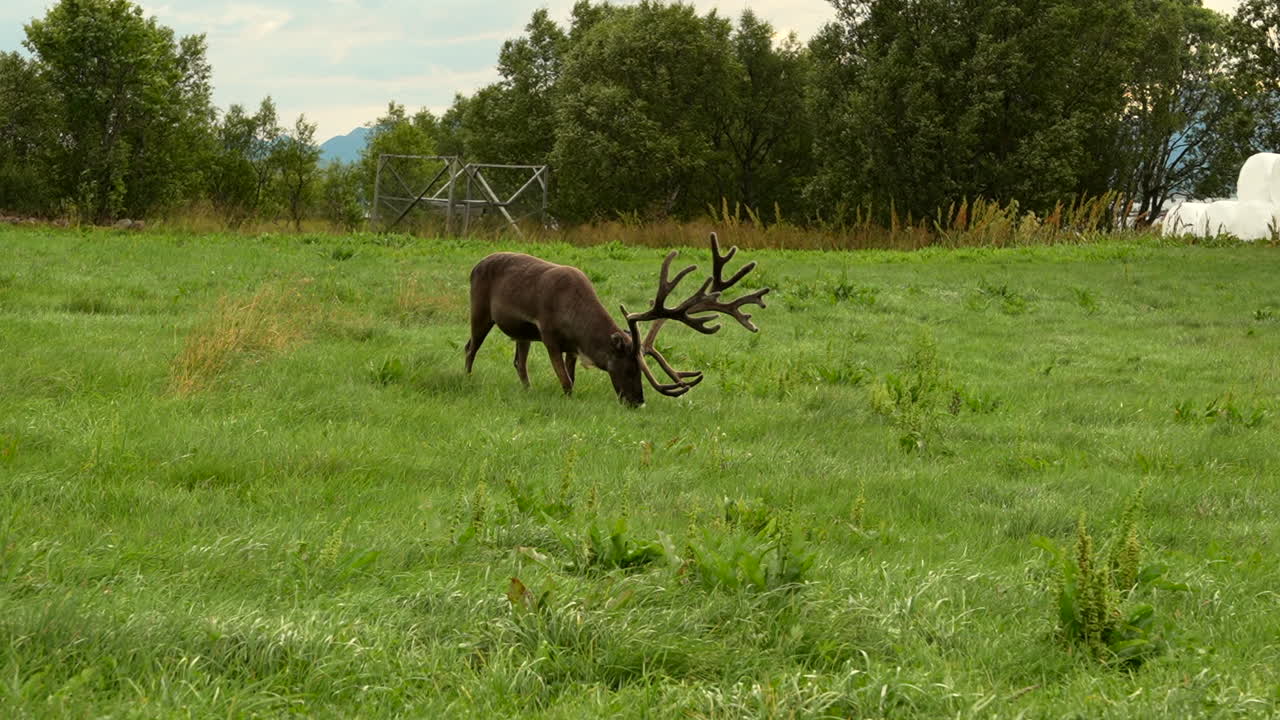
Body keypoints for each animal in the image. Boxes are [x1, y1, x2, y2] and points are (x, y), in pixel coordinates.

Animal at [463, 233, 769, 406]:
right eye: (631, 369)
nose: (637, 401)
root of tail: (475, 265)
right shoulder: (549, 334)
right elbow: (566, 382)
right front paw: (568, 399)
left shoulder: (571, 347)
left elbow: (571, 377)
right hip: (480, 310)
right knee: (470, 347)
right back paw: (467, 378)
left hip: (522, 333)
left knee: (519, 361)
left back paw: (527, 390)